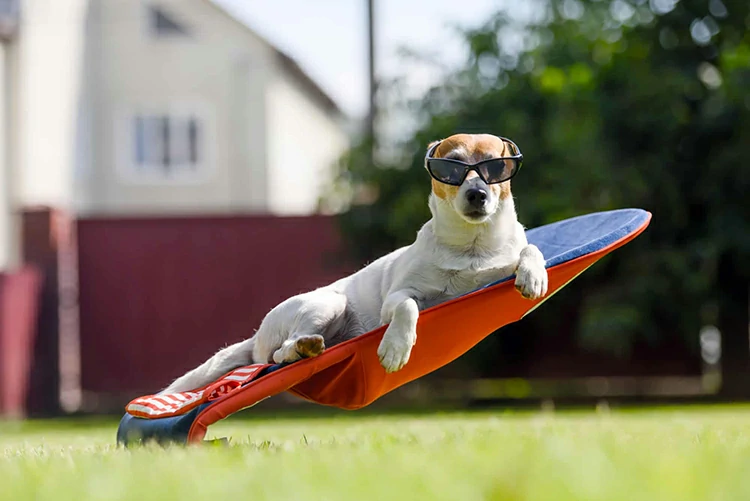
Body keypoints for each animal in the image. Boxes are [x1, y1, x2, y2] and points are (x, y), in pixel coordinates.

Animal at [162, 133, 548, 394]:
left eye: (495, 166)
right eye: (449, 168)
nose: (476, 195)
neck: (470, 248)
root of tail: (256, 335)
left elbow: (530, 249)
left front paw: (533, 275)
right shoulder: (398, 297)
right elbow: (408, 306)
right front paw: (396, 347)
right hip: (326, 304)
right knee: (280, 353)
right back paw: (304, 346)